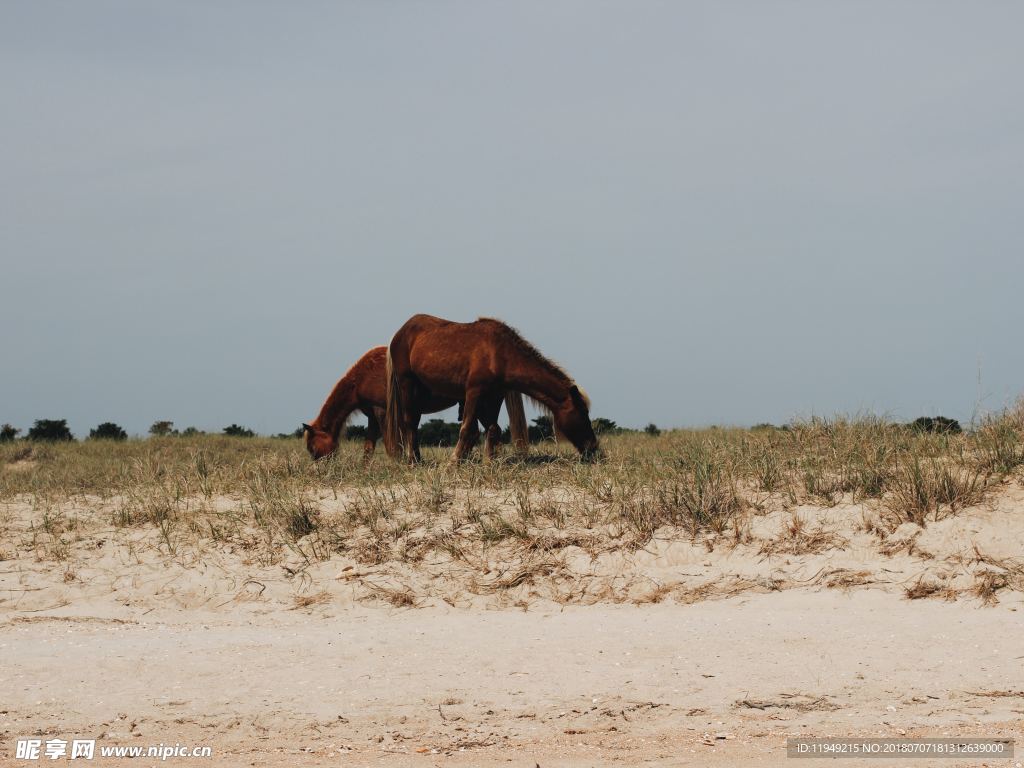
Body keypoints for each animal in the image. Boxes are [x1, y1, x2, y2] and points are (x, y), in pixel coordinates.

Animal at [301, 348, 528, 462]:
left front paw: (397, 463)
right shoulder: (373, 416)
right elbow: (369, 446)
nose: (320, 468)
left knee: (485, 431)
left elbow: (391, 443)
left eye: (312, 447)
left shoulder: (382, 412)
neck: (362, 378)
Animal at [380, 317, 598, 466]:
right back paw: (413, 461)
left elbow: (493, 428)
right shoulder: (474, 392)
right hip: (408, 385)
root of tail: (400, 333)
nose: (594, 448)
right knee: (409, 423)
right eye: (582, 413)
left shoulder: (495, 395)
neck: (501, 354)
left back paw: (418, 458)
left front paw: (489, 461)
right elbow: (467, 428)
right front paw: (453, 461)